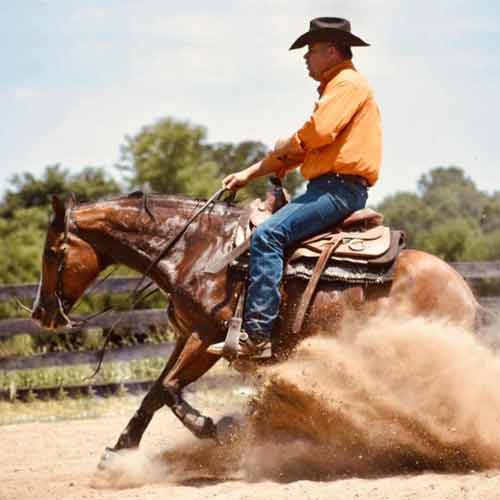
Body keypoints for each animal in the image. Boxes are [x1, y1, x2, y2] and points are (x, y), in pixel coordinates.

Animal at [31, 190, 480, 458]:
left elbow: (172, 389)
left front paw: (214, 428)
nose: (40, 313)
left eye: (53, 251)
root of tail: (464, 291)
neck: (199, 250)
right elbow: (155, 392)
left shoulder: (207, 338)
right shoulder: (185, 336)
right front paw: (120, 450)